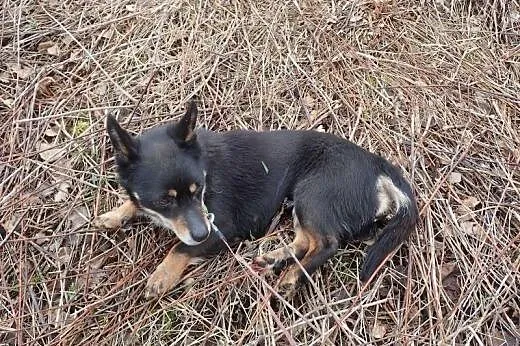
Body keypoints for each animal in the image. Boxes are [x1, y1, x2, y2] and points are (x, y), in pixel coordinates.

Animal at [92, 101, 418, 298]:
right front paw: (116, 214)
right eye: (164, 201)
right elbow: (134, 203)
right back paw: (275, 257)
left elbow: (179, 248)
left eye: (199, 189)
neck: (205, 165)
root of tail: (378, 165)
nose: (202, 233)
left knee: (327, 244)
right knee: (306, 241)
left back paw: (291, 276)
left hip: (312, 194)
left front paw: (161, 276)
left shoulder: (221, 229)